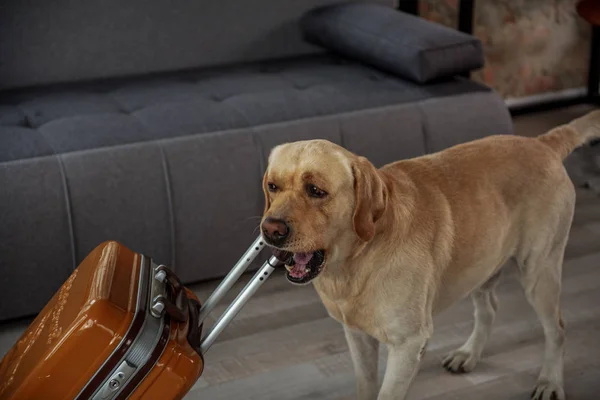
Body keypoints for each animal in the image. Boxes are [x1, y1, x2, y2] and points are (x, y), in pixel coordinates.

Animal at [260, 109, 600, 400]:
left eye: (316, 190)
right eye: (273, 186)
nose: (270, 230)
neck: (355, 263)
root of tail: (542, 142)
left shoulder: (408, 345)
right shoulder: (357, 337)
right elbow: (366, 386)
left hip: (538, 272)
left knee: (557, 329)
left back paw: (550, 382)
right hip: (481, 264)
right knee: (489, 308)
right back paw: (468, 354)